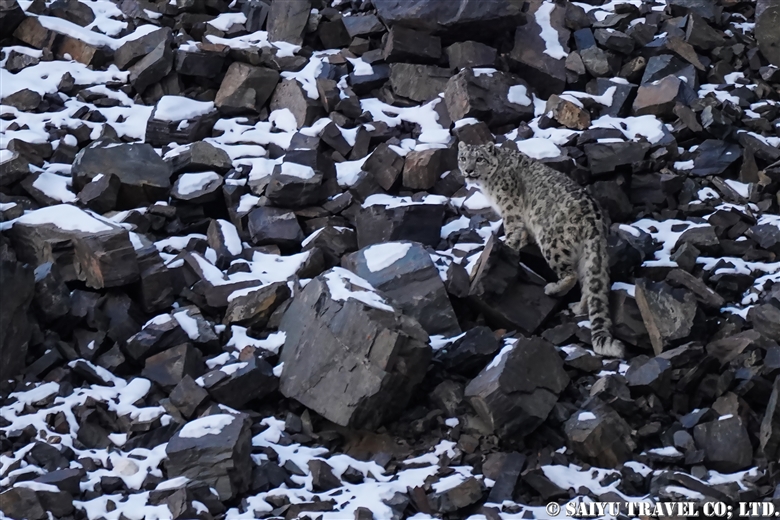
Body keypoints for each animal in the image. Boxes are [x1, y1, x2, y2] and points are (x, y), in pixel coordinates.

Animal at [458, 142, 628, 362]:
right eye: (463, 158)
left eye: (479, 159)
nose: (468, 170)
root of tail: (596, 221)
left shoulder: (510, 210)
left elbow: (512, 233)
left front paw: (505, 247)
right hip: (587, 256)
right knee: (589, 283)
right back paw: (578, 307)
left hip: (552, 240)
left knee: (570, 274)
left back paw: (553, 289)